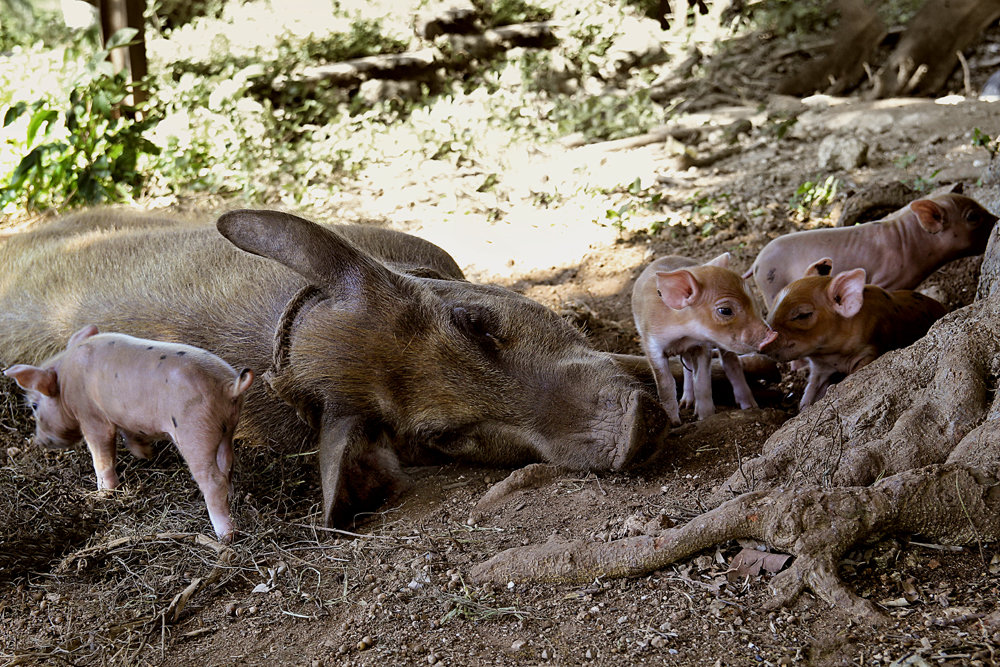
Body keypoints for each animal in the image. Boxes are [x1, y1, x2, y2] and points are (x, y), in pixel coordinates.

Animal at [5, 326, 254, 540]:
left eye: (34, 406)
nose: (40, 440)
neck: (66, 381)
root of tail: (228, 386)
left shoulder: (92, 416)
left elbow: (101, 454)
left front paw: (103, 494)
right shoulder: (122, 417)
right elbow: (129, 436)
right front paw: (146, 454)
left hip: (195, 432)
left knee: (213, 480)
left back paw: (226, 536)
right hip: (227, 428)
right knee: (227, 465)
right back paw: (232, 498)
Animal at [748, 193, 996, 308]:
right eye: (973, 216)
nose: (997, 219)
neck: (910, 242)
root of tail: (755, 263)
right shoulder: (886, 279)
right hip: (772, 287)